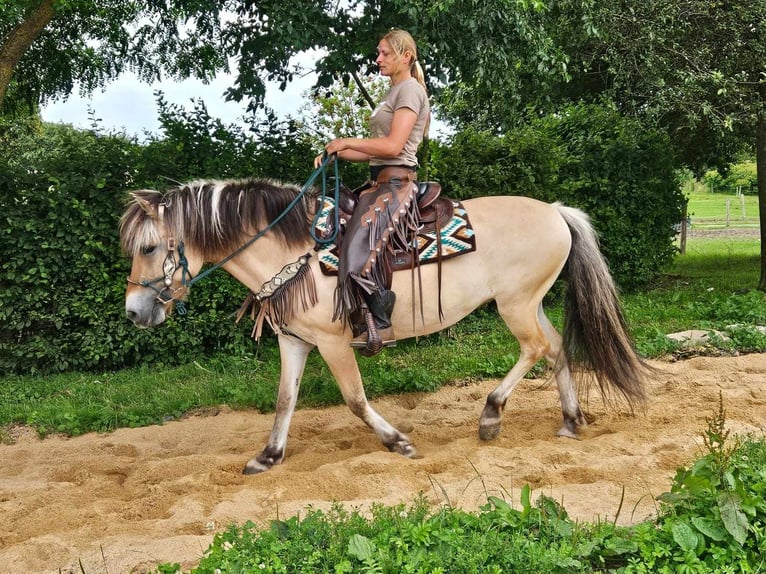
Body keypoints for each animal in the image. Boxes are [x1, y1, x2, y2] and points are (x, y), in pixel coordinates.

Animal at [118, 178, 648, 474]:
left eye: (149, 247)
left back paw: (491, 415)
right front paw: (268, 456)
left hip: (515, 304)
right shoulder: (294, 342)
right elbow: (285, 400)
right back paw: (570, 421)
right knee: (556, 348)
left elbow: (354, 400)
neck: (295, 252)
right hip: (528, 301)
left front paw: (398, 442)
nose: (134, 312)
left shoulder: (333, 343)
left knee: (536, 348)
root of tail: (556, 212)